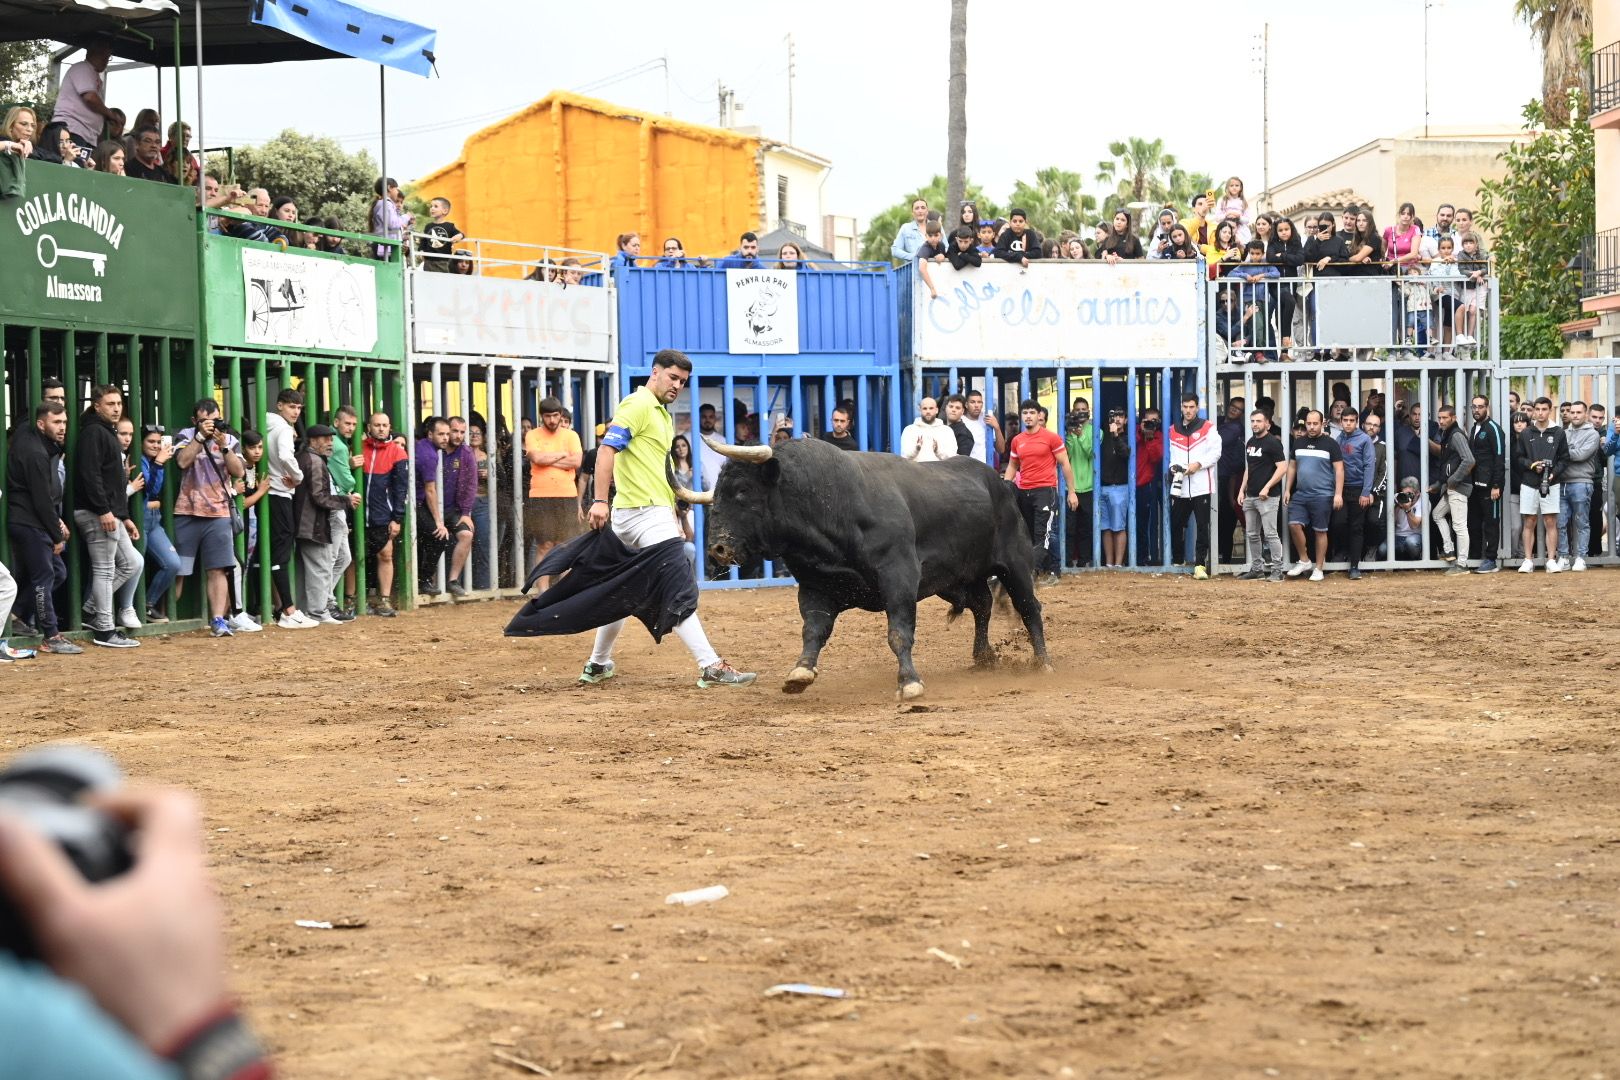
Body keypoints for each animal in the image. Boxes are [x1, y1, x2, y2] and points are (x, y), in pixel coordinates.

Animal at [680, 440, 1049, 702]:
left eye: (743, 491)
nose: (717, 549)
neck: (832, 503)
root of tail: (999, 483)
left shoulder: (899, 577)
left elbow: (899, 632)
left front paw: (909, 683)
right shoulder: (816, 586)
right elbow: (813, 631)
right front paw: (800, 673)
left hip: (1014, 563)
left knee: (1028, 607)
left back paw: (1042, 662)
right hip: (956, 578)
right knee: (982, 605)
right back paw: (983, 657)